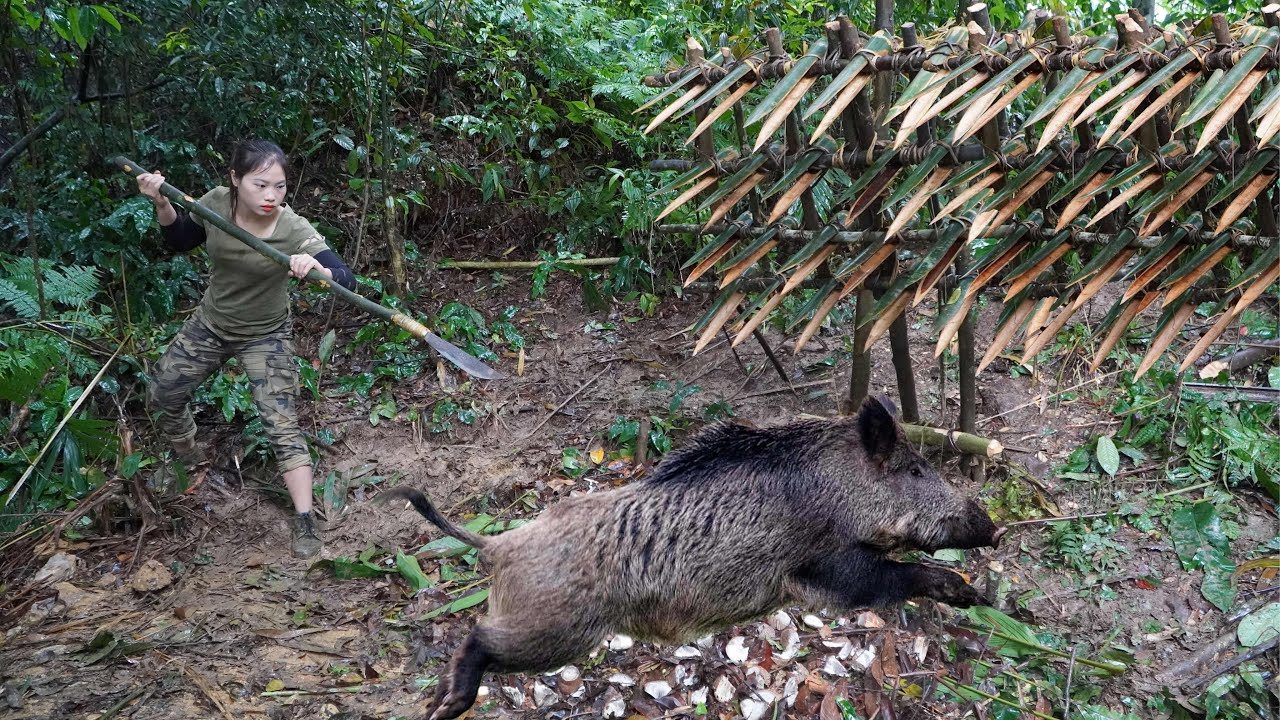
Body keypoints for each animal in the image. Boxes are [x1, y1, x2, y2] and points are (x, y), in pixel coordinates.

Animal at [382, 395, 1003, 720]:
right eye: (915, 470)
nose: (992, 529)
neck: (838, 489)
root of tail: (501, 543)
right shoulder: (820, 568)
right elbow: (887, 577)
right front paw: (964, 591)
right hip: (556, 630)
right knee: (479, 639)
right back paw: (451, 705)